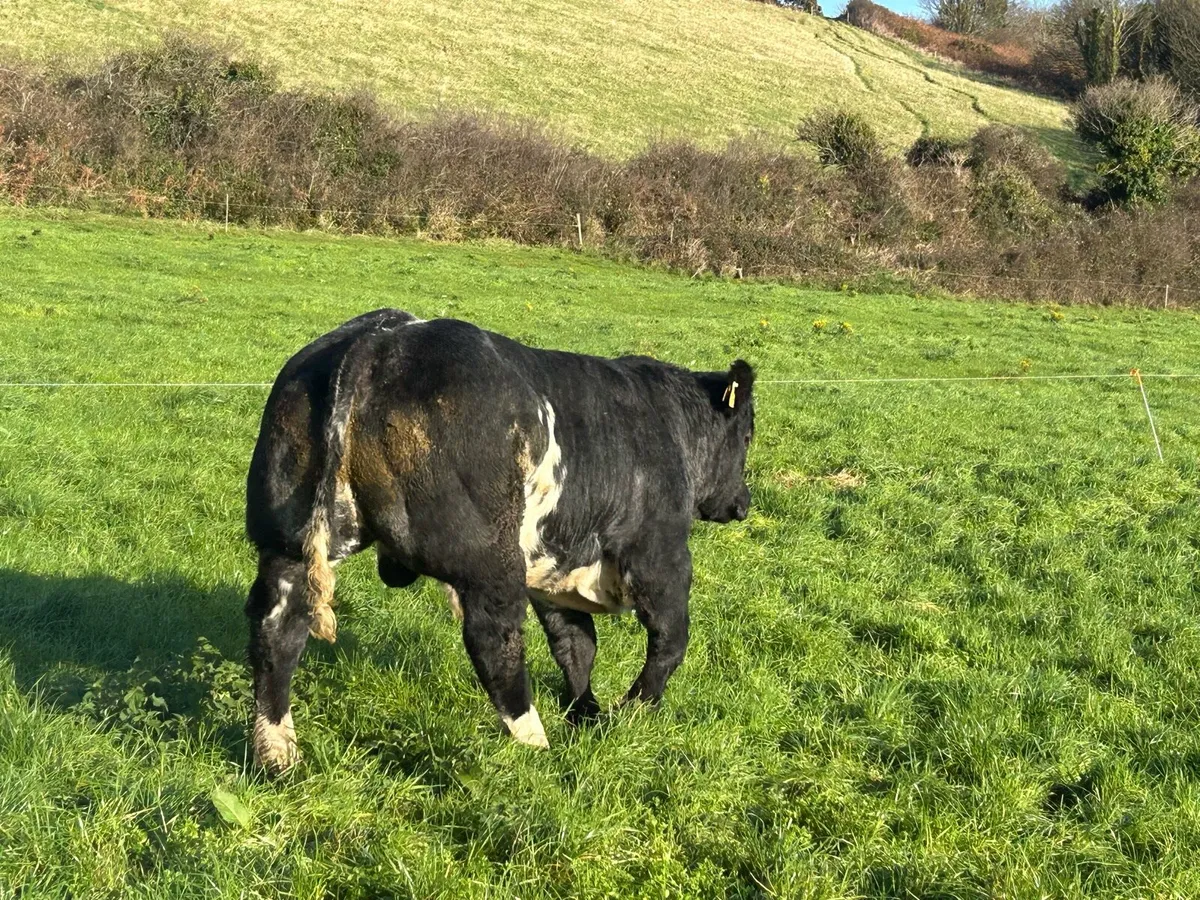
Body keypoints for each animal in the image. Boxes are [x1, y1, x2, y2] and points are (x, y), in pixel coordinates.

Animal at [244, 308, 755, 773]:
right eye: (747, 435)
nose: (743, 503)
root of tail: (384, 335)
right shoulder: (660, 553)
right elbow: (669, 639)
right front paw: (631, 712)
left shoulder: (556, 567)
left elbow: (576, 647)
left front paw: (586, 715)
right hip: (488, 560)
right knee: (495, 642)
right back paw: (535, 746)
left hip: (287, 538)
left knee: (278, 628)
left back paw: (277, 755)